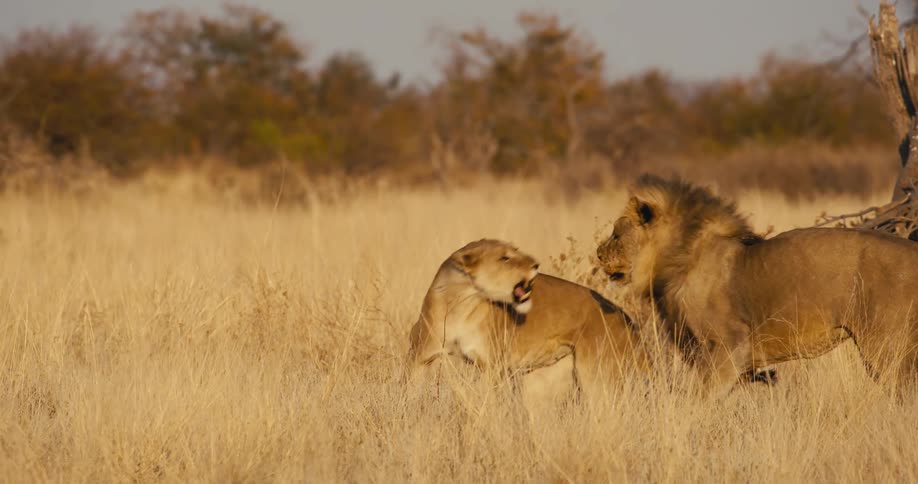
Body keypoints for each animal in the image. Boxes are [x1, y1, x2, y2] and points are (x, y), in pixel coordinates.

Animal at [407, 239, 648, 400]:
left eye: (516, 251)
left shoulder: (492, 366)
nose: (536, 265)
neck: (461, 302)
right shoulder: (420, 357)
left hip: (597, 377)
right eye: (505, 258)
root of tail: (627, 319)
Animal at [596, 175, 918, 397]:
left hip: (886, 347)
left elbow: (701, 398)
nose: (598, 254)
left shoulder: (729, 347)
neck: (677, 258)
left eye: (616, 235)